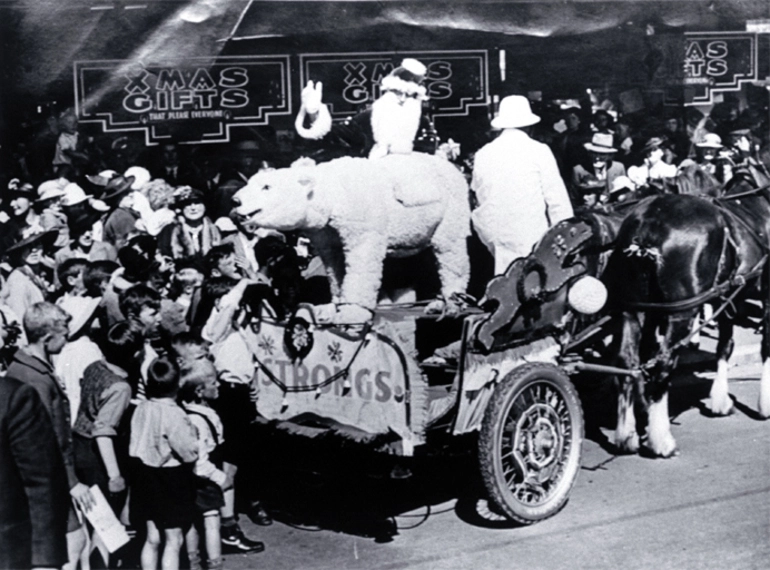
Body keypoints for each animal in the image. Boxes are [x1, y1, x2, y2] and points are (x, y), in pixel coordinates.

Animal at [231, 153, 468, 318]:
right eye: (250, 182)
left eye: (266, 187)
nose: (235, 200)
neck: (333, 193)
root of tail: (453, 168)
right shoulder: (326, 231)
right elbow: (334, 262)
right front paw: (334, 305)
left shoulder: (360, 217)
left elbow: (362, 259)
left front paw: (353, 310)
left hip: (450, 209)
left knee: (449, 251)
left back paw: (449, 303)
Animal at [604, 162, 768, 454]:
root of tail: (648, 226)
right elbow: (765, 345)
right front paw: (764, 405)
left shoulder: (726, 297)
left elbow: (725, 345)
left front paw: (720, 400)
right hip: (679, 312)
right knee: (663, 362)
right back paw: (661, 440)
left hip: (633, 308)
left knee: (628, 361)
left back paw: (626, 434)